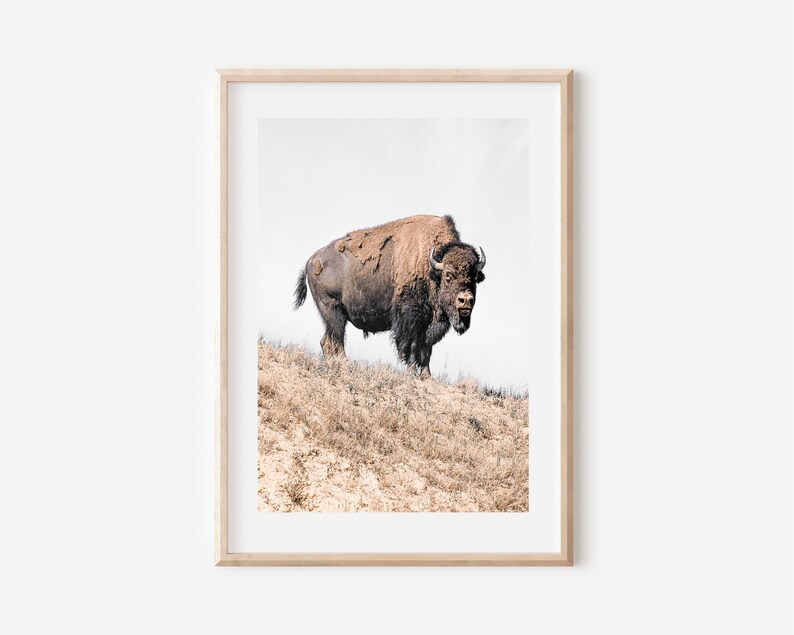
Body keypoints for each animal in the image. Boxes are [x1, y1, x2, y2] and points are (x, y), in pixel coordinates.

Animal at [293, 215, 485, 377]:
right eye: (448, 275)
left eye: (474, 277)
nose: (465, 301)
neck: (431, 269)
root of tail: (311, 260)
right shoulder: (410, 320)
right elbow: (412, 347)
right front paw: (411, 373)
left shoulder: (428, 325)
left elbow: (426, 351)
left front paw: (427, 376)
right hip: (333, 310)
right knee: (337, 339)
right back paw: (345, 364)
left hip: (333, 315)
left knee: (327, 340)